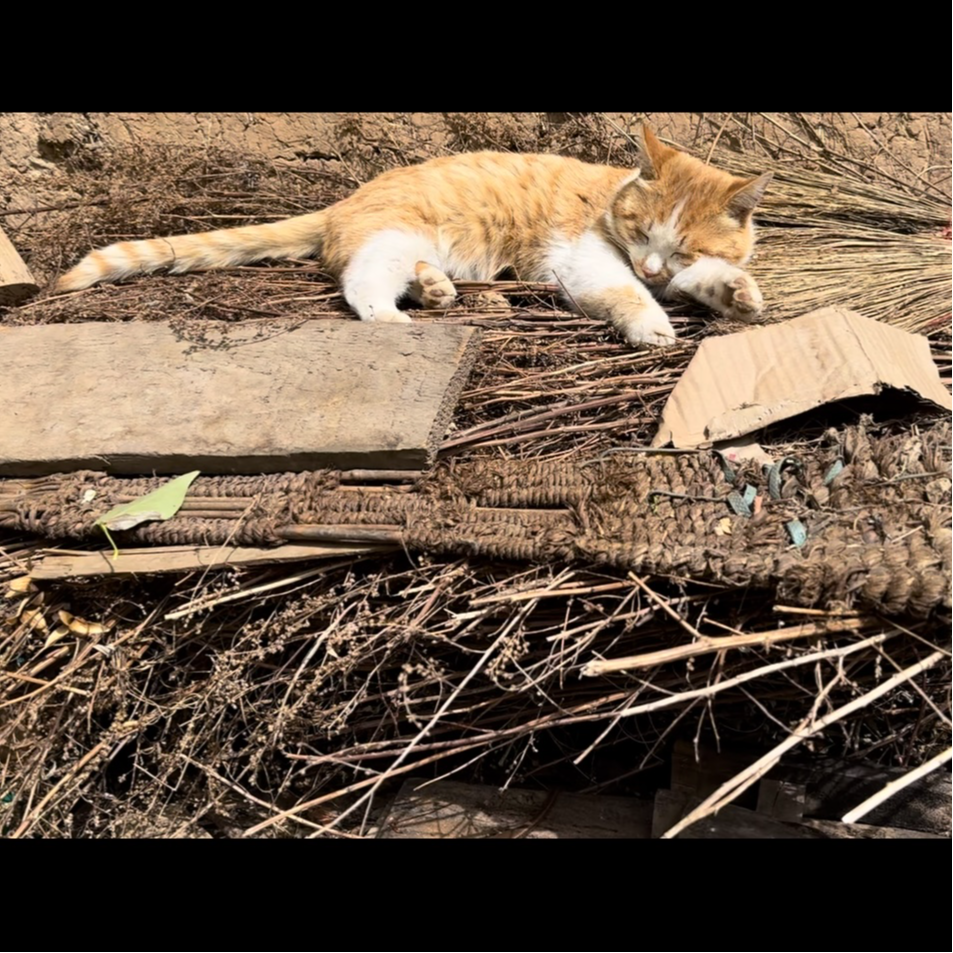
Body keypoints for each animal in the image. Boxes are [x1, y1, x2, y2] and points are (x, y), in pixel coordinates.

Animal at [52, 128, 768, 346]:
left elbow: (705, 282)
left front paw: (737, 294)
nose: (650, 266)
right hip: (393, 238)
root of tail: (345, 199)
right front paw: (650, 322)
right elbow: (624, 293)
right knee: (359, 283)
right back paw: (393, 317)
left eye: (683, 246)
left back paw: (437, 290)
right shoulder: (583, 260)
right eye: (640, 229)